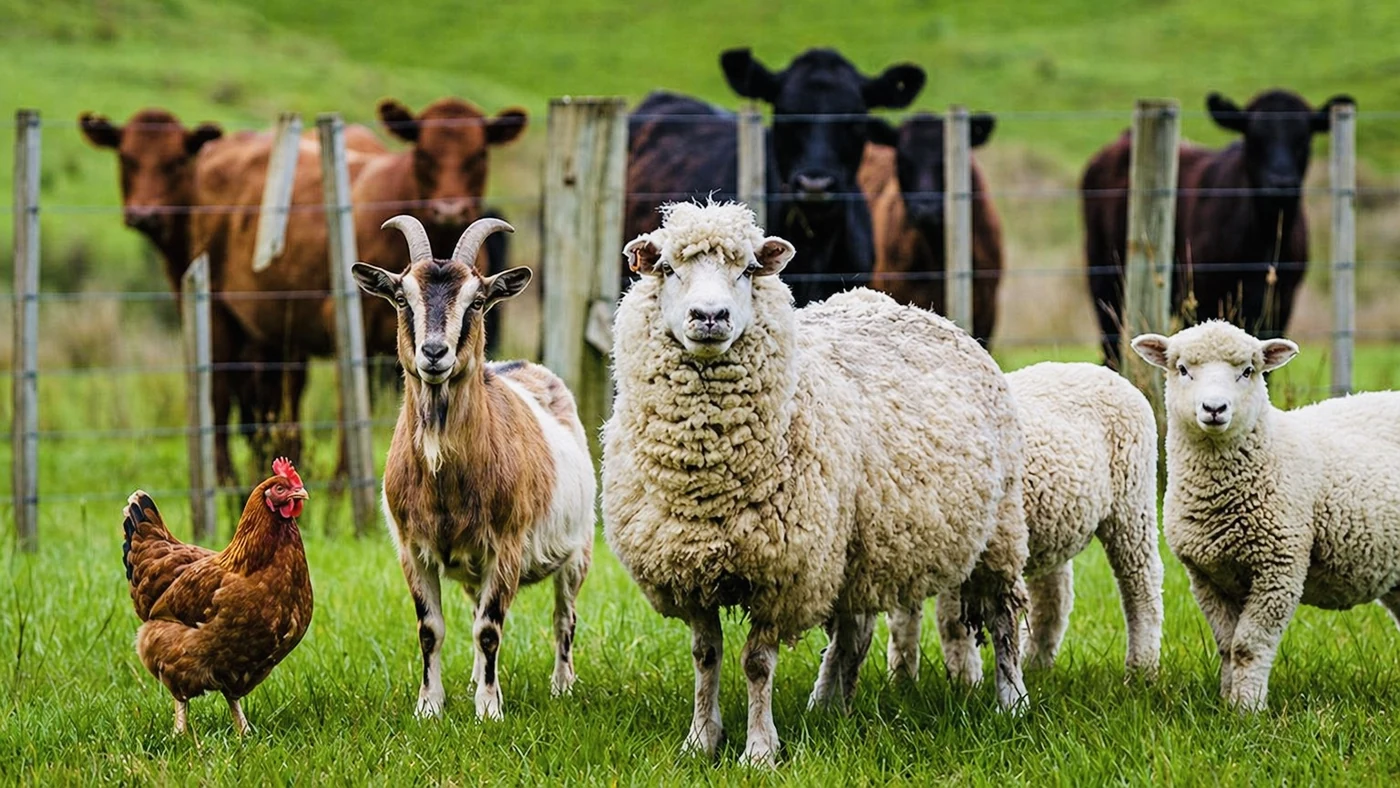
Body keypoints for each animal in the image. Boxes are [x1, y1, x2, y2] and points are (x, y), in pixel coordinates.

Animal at [352, 215, 595, 721]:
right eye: (401, 297)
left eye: (478, 300)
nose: (434, 353)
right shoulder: (412, 549)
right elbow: (431, 629)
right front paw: (430, 707)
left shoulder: (505, 546)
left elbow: (488, 629)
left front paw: (488, 711)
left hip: (578, 547)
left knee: (563, 616)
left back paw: (562, 685)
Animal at [602, 200, 1029, 766]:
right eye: (668, 269)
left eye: (747, 271)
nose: (710, 317)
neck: (709, 479)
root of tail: (923, 311)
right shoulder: (689, 569)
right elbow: (705, 656)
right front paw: (701, 740)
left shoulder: (783, 572)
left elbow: (757, 663)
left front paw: (759, 750)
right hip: (855, 547)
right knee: (852, 630)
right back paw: (827, 704)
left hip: (998, 530)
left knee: (1003, 618)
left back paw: (1013, 703)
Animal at [884, 362, 1164, 681]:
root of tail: (1102, 371)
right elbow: (902, 623)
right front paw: (901, 680)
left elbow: (952, 622)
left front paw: (965, 681)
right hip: (1051, 522)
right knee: (1054, 597)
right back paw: (1036, 665)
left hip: (1133, 500)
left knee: (1141, 583)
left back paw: (1142, 669)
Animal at [1083, 89, 1355, 368]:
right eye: (1254, 138)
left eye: (1304, 138)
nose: (1281, 183)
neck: (1263, 239)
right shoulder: (1201, 296)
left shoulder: (1280, 303)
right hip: (1104, 279)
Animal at [1131, 321, 1400, 712]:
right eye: (1182, 369)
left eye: (1248, 371)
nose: (1214, 408)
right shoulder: (1207, 576)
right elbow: (1227, 646)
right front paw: (1227, 705)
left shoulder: (1279, 568)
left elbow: (1248, 646)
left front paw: (1247, 710)